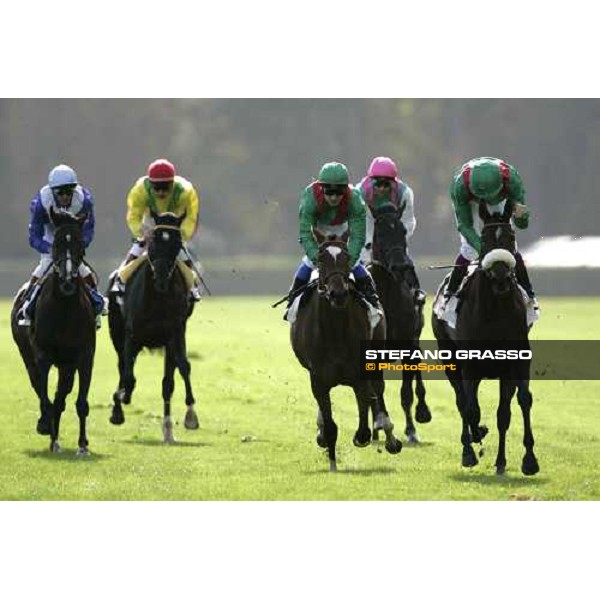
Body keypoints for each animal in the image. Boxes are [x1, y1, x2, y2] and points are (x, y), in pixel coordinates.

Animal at [10, 209, 96, 452]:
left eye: (79, 244)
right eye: (56, 244)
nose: (67, 283)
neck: (65, 309)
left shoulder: (85, 356)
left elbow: (80, 402)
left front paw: (82, 444)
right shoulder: (43, 356)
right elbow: (44, 395)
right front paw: (48, 430)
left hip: (67, 364)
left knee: (61, 394)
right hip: (26, 354)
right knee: (38, 386)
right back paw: (48, 428)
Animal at [108, 211, 199, 440]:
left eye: (176, 243)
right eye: (154, 241)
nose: (161, 277)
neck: (157, 298)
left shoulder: (174, 333)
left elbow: (178, 372)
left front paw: (186, 418)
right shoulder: (131, 335)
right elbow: (127, 376)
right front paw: (120, 402)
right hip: (118, 333)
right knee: (122, 366)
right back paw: (119, 404)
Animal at [290, 230, 400, 468]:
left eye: (347, 257)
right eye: (321, 258)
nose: (338, 293)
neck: (335, 331)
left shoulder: (360, 374)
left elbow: (364, 420)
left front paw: (366, 435)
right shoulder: (318, 378)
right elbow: (330, 423)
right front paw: (331, 459)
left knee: (378, 389)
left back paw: (388, 434)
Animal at [370, 204, 432, 442]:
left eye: (403, 231)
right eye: (379, 233)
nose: (400, 266)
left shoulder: (407, 343)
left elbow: (406, 392)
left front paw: (412, 431)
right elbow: (376, 389)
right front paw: (379, 427)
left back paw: (422, 412)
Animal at [432, 204, 540, 476]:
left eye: (511, 238)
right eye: (485, 239)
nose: (501, 276)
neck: (495, 311)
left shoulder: (515, 363)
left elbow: (514, 406)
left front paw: (524, 460)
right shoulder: (469, 365)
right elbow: (470, 408)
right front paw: (471, 447)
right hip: (450, 360)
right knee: (462, 401)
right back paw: (470, 442)